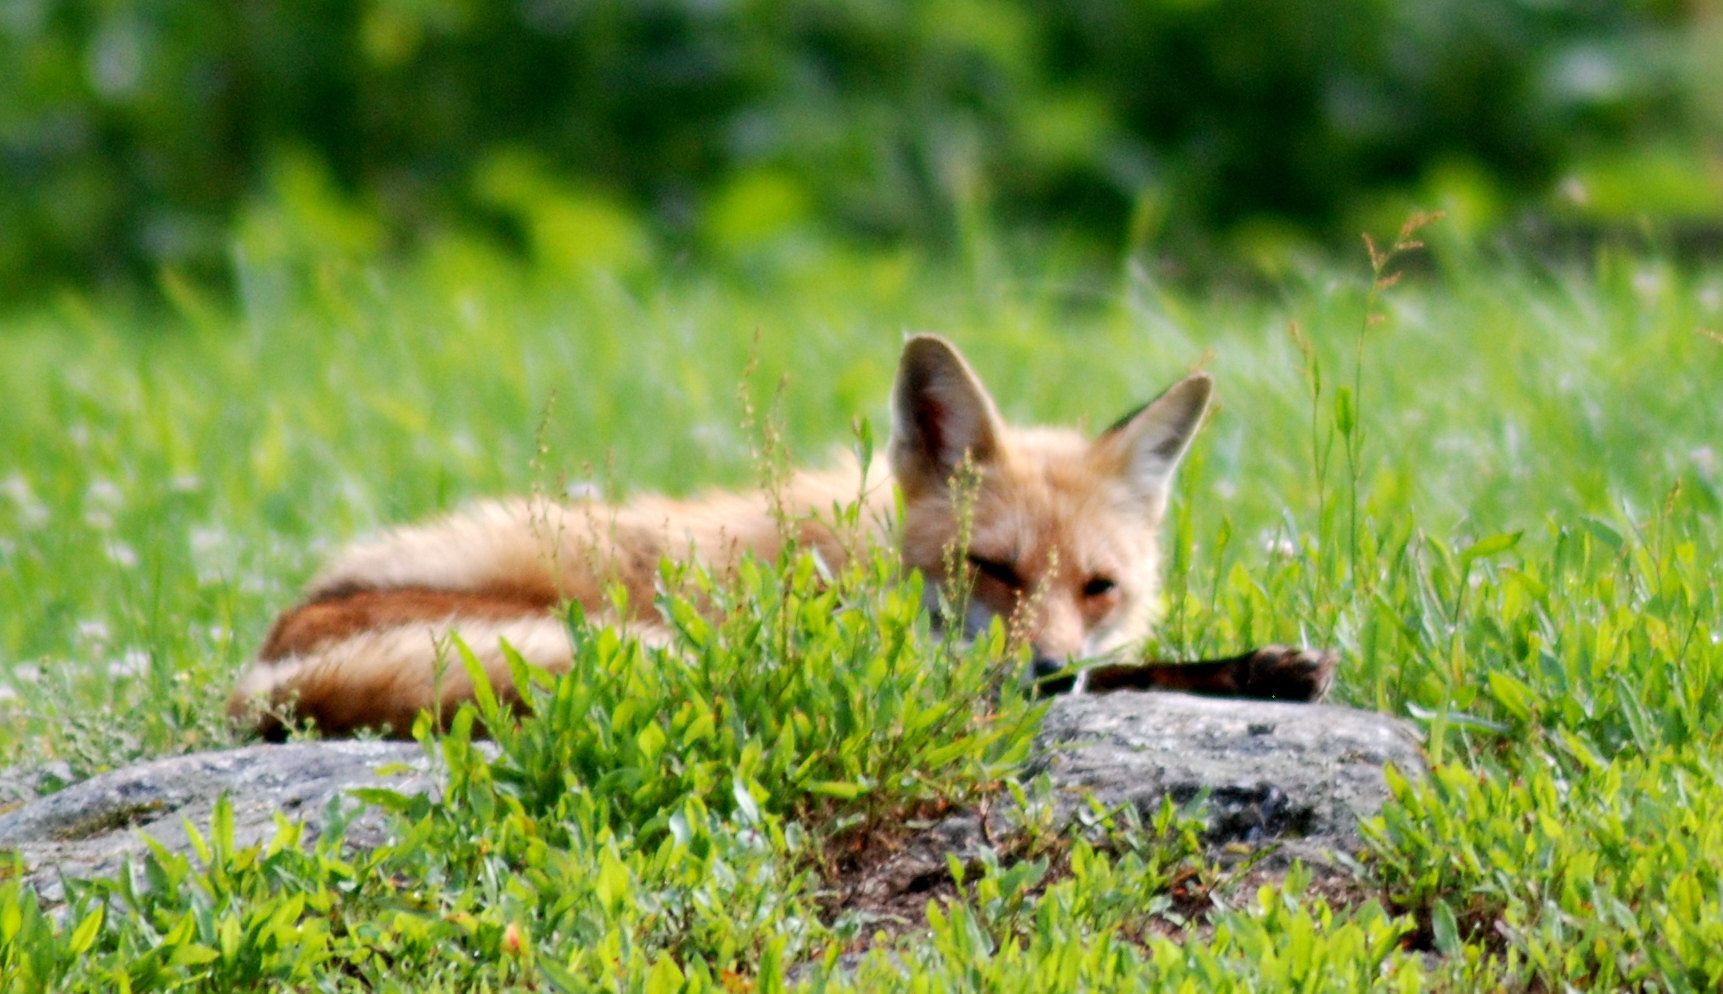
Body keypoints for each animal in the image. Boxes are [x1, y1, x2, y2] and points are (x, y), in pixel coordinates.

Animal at [229, 335, 1330, 737]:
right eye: (991, 568)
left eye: (1098, 586)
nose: (1048, 666)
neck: (860, 562)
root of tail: (261, 672)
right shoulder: (910, 672)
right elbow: (1130, 673)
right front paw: (1254, 670)